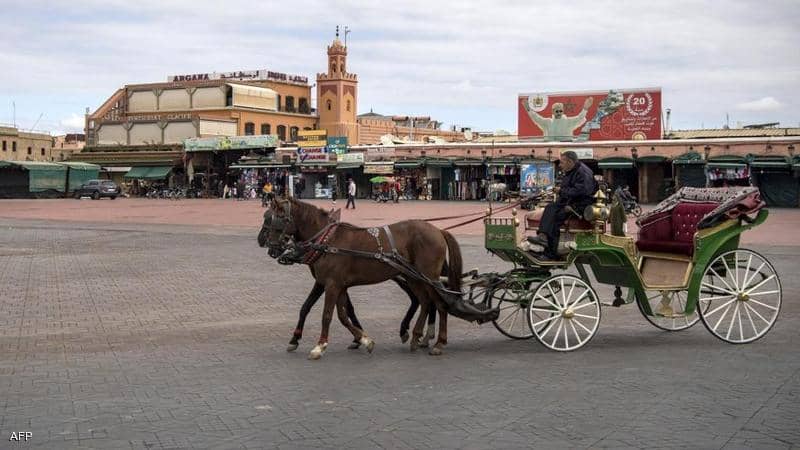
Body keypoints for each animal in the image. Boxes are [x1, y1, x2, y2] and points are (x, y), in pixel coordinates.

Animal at [266, 197, 460, 358]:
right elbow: (343, 316)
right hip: (414, 278)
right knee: (425, 302)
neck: (328, 241)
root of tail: (438, 230)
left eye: (280, 217)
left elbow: (327, 315)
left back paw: (438, 343)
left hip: (429, 277)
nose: (271, 247)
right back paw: (416, 337)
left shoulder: (332, 284)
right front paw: (364, 340)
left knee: (440, 305)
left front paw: (320, 346)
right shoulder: (338, 285)